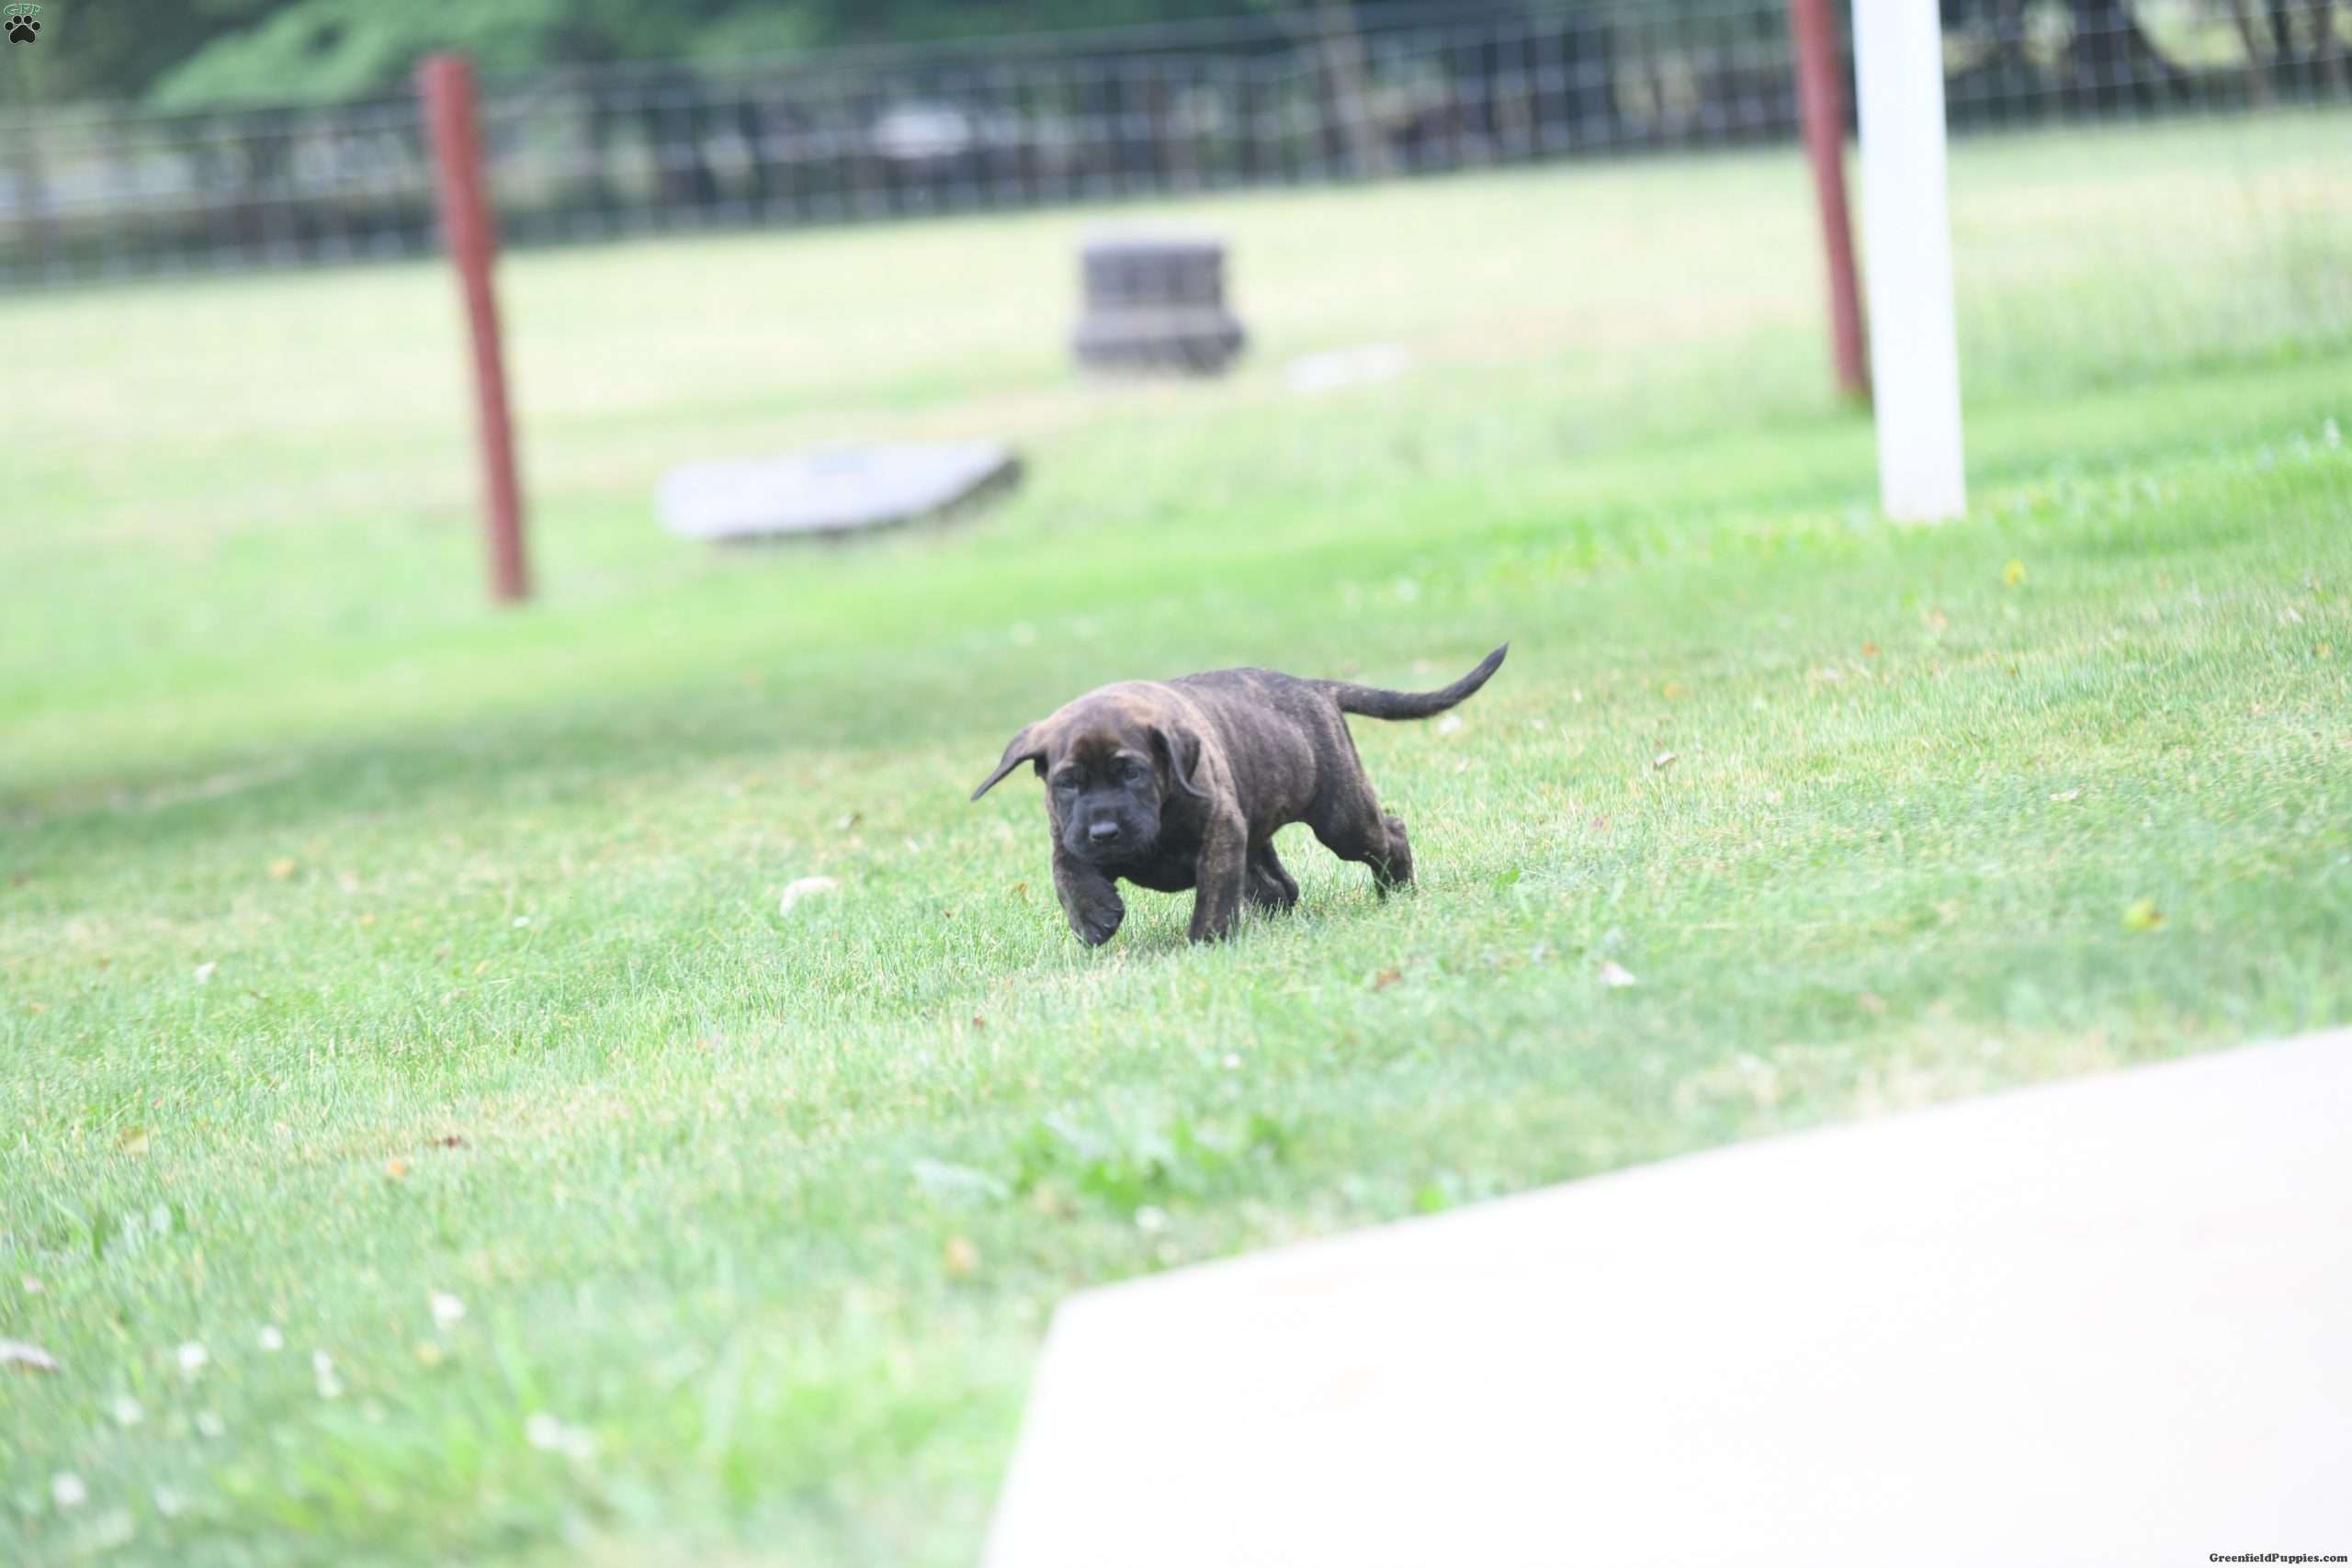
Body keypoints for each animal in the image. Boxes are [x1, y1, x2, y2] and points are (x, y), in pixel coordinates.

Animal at [968, 649, 1505, 944]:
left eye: (1131, 772)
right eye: (1067, 783)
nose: (1105, 831)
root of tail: (1314, 687)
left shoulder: (1220, 833)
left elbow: (1213, 894)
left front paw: (1205, 941)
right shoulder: (1068, 834)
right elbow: (1068, 873)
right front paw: (1092, 916)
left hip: (1342, 818)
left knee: (1389, 833)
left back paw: (1395, 889)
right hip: (1262, 826)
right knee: (1278, 886)